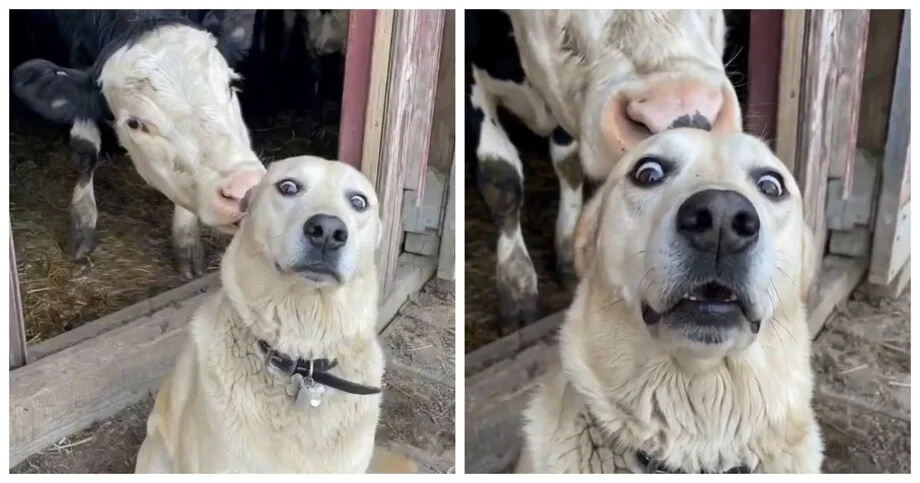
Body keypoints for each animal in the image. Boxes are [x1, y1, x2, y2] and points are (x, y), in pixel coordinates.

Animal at [11, 10, 261, 279]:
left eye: (231, 86)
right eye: (134, 122)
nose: (245, 188)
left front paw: (187, 241)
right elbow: (84, 152)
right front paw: (83, 224)